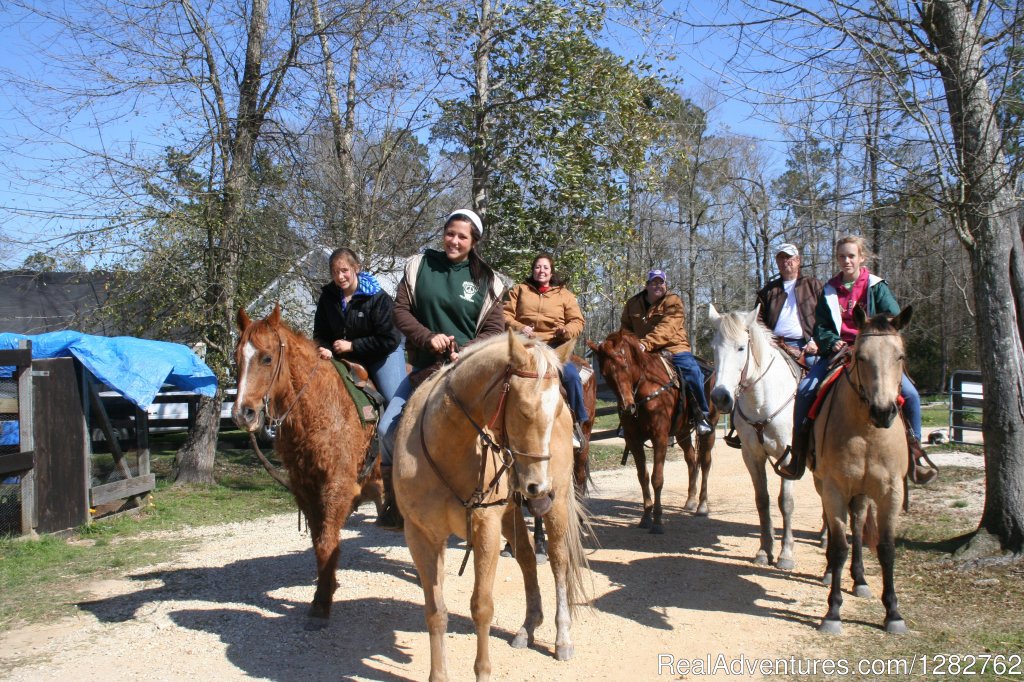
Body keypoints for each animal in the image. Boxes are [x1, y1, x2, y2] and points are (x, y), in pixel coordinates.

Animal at [230, 305, 382, 622]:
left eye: (267, 357)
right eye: (236, 359)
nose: (243, 414)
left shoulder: (337, 488)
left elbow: (327, 543)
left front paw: (323, 602)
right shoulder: (305, 489)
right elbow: (319, 543)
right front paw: (324, 591)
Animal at [393, 327, 589, 675]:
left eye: (555, 411)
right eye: (523, 410)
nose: (538, 486)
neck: (447, 447)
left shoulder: (485, 528)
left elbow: (482, 607)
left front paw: (482, 671)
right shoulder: (421, 536)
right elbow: (435, 611)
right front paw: (438, 674)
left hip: (557, 502)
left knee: (558, 561)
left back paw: (562, 637)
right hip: (512, 511)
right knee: (527, 558)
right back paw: (528, 626)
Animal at [589, 329, 716, 532]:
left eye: (625, 365)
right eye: (604, 373)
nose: (627, 407)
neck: (645, 387)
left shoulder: (660, 438)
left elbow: (657, 478)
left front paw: (657, 519)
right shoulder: (633, 440)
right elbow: (643, 477)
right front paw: (646, 516)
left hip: (709, 429)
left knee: (705, 462)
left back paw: (702, 506)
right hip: (682, 432)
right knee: (690, 459)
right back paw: (690, 500)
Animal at [708, 303, 802, 569]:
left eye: (742, 347)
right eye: (714, 348)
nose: (720, 397)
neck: (762, 402)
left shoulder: (788, 457)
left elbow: (786, 503)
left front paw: (786, 554)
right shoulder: (752, 455)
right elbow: (762, 500)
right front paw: (764, 550)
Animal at [811, 305, 917, 634]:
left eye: (900, 356)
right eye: (860, 356)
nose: (883, 412)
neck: (867, 432)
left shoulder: (891, 492)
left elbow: (886, 548)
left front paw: (893, 613)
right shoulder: (833, 488)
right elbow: (838, 547)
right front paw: (833, 612)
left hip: (863, 493)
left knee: (857, 526)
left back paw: (859, 579)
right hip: (826, 485)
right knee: (840, 531)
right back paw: (831, 573)